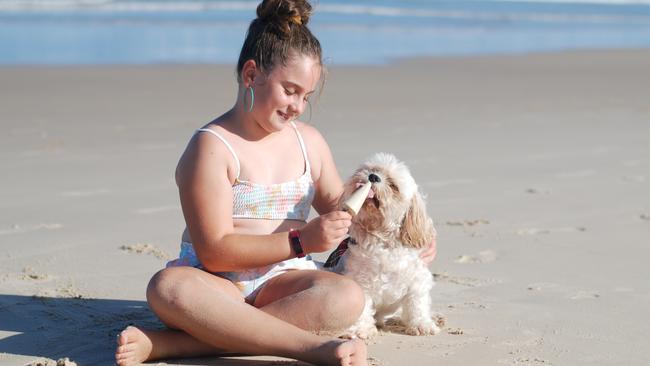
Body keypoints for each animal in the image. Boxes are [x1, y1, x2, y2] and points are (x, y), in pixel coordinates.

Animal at [324, 152, 440, 340]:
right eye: (371, 169)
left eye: (393, 185)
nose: (373, 177)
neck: (384, 243)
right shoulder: (361, 282)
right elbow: (362, 308)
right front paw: (360, 329)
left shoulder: (417, 281)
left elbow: (417, 304)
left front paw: (422, 324)